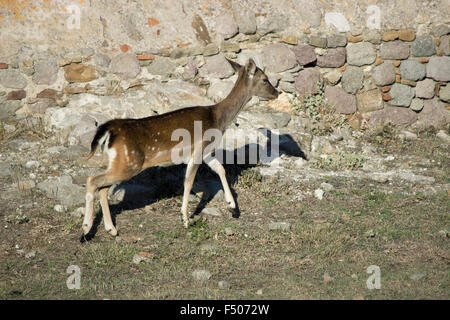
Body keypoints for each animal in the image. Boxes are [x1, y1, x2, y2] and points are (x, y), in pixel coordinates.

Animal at [81, 58, 278, 236]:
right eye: (265, 79)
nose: (277, 93)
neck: (218, 119)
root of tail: (109, 130)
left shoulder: (207, 152)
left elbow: (220, 169)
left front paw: (232, 206)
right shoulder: (197, 151)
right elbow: (188, 182)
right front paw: (185, 219)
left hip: (119, 162)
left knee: (103, 188)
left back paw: (111, 229)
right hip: (130, 163)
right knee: (92, 180)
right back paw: (86, 228)